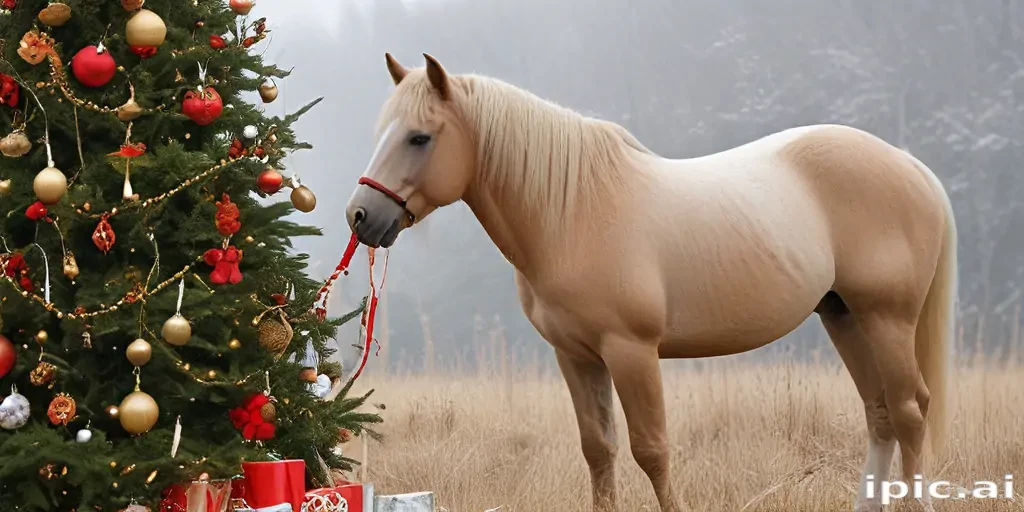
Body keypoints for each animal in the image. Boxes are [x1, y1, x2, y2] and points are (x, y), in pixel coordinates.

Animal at [344, 53, 957, 512]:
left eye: (420, 138)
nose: (361, 217)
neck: (573, 213)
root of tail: (910, 166)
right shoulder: (576, 356)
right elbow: (599, 450)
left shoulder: (631, 351)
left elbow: (652, 449)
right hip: (843, 314)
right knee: (880, 411)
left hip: (887, 317)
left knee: (909, 409)